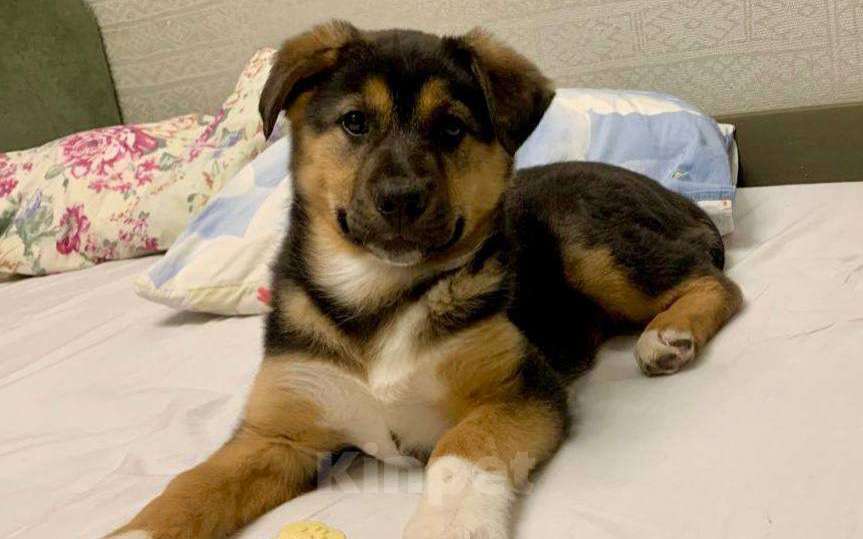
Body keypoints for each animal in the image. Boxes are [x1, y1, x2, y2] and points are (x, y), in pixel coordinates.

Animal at [111, 20, 742, 539]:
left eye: (452, 129)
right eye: (355, 123)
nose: (400, 198)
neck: (378, 293)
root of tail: (683, 199)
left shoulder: (517, 391)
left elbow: (460, 452)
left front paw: (449, 523)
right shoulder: (275, 434)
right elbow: (186, 489)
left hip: (586, 240)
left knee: (715, 281)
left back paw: (669, 334)